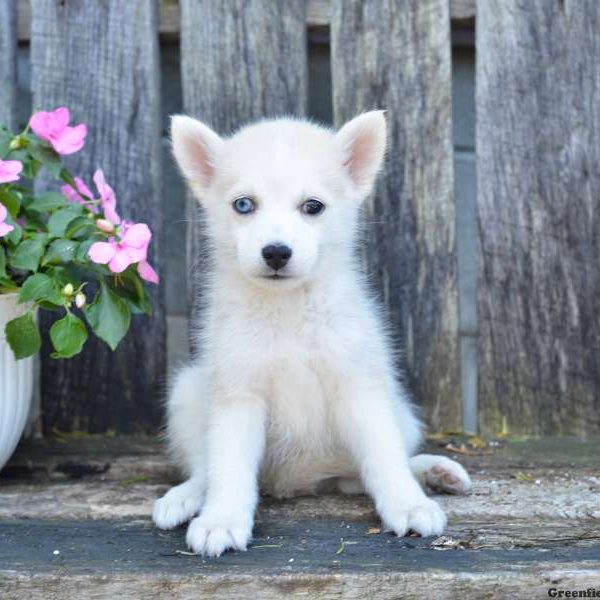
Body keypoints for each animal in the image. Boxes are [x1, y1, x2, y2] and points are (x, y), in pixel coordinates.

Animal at [152, 112, 472, 556]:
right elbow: (228, 466)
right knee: (204, 467)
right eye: (244, 205)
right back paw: (185, 497)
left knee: (371, 468)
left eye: (313, 207)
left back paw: (433, 472)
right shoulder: (238, 393)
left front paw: (408, 504)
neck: (288, 309)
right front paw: (222, 520)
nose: (276, 252)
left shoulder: (359, 388)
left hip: (400, 411)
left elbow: (383, 456)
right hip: (188, 391)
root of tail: (299, 482)